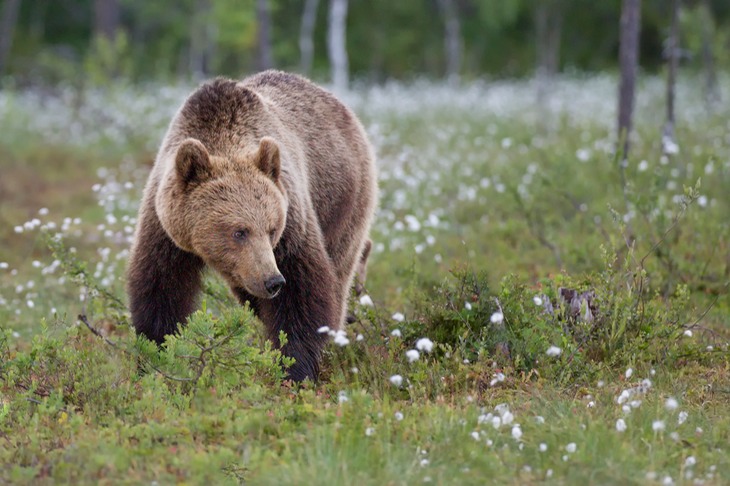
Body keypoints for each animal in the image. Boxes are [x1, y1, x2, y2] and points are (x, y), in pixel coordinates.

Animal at [125, 70, 376, 382]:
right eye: (239, 231)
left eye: (271, 229)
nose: (273, 281)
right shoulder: (165, 229)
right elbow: (160, 289)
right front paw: (157, 358)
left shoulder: (292, 223)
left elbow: (303, 293)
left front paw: (295, 368)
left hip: (344, 199)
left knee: (341, 266)